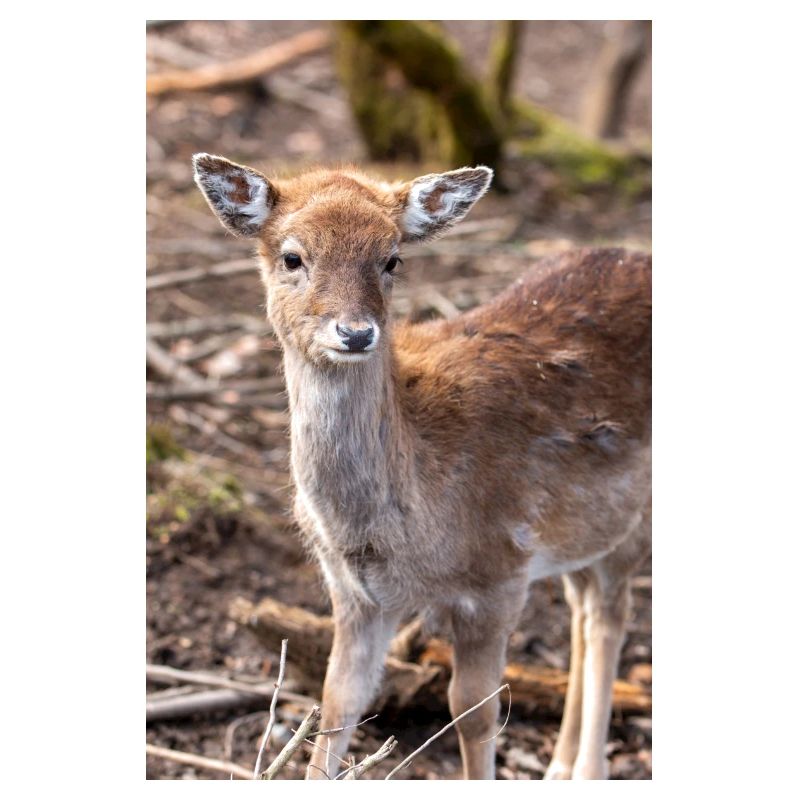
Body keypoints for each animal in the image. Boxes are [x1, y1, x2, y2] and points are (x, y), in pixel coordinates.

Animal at [193, 153, 651, 781]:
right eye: (291, 256)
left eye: (392, 258)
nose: (356, 332)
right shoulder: (353, 592)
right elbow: (337, 702)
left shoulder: (498, 575)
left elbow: (475, 713)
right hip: (582, 529)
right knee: (583, 611)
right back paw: (558, 766)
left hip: (634, 519)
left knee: (611, 617)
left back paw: (587, 770)